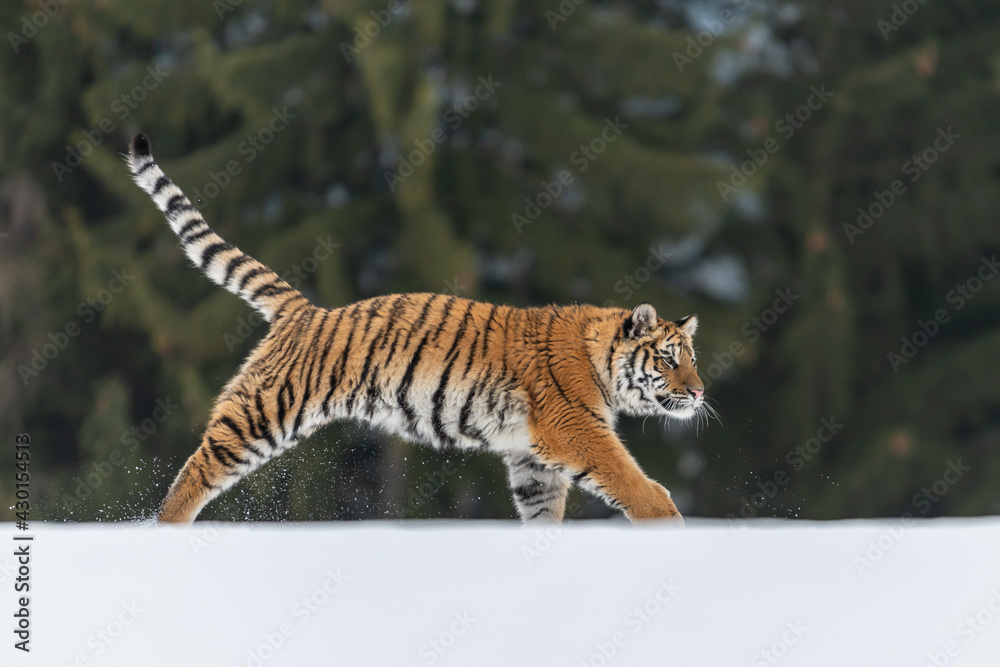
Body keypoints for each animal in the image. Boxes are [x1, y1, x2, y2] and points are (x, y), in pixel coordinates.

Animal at [127, 132, 708, 526]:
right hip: (264, 411)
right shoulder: (575, 430)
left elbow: (544, 513)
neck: (601, 362)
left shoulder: (531, 458)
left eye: (692, 358)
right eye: (668, 358)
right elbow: (633, 482)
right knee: (196, 471)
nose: (701, 393)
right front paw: (673, 524)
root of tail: (306, 311)